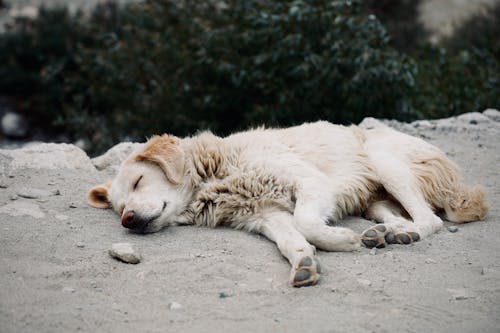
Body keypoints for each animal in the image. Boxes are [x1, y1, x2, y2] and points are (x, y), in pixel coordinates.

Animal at [87, 121, 488, 286]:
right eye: (119, 207)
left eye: (138, 181)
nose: (128, 220)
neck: (218, 171)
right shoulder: (265, 217)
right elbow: (291, 239)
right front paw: (305, 263)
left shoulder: (311, 183)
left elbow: (308, 222)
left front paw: (341, 240)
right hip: (373, 200)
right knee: (408, 218)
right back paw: (388, 234)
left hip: (383, 160)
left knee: (431, 220)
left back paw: (392, 235)